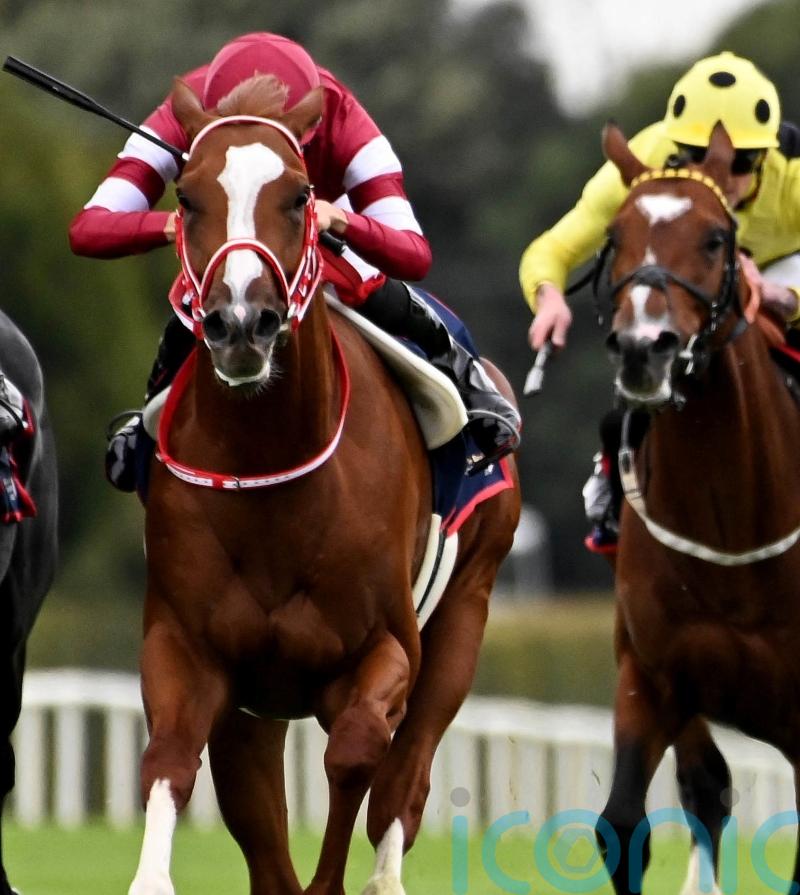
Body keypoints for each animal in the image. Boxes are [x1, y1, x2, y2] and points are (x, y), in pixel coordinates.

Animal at [126, 75, 520, 895]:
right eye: (186, 196)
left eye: (301, 194)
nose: (242, 321)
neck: (270, 466)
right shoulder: (189, 648)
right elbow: (170, 761)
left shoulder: (384, 649)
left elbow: (356, 754)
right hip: (255, 710)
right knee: (260, 821)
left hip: (466, 612)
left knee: (404, 780)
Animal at [593, 120, 800, 895]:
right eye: (615, 236)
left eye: (716, 238)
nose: (643, 348)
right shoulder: (652, 678)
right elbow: (624, 826)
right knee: (706, 788)